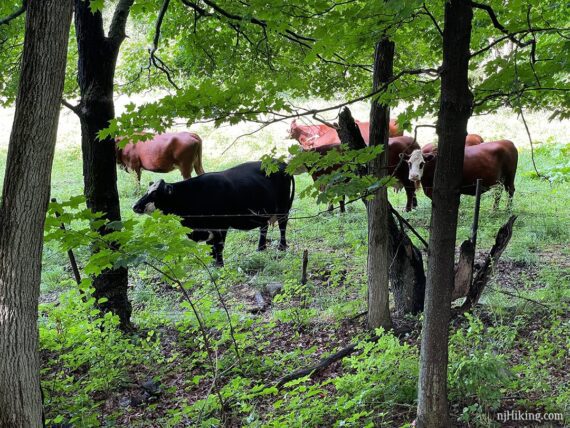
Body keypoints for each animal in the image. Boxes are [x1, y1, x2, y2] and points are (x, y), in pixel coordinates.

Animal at [131, 161, 296, 266]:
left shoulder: (221, 225)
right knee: (264, 227)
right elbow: (211, 247)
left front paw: (219, 264)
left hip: (283, 207)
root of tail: (282, 163)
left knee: (282, 225)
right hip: (263, 212)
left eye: (154, 194)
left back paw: (281, 247)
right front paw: (212, 263)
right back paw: (261, 248)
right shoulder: (207, 228)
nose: (134, 206)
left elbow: (219, 246)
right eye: (147, 191)